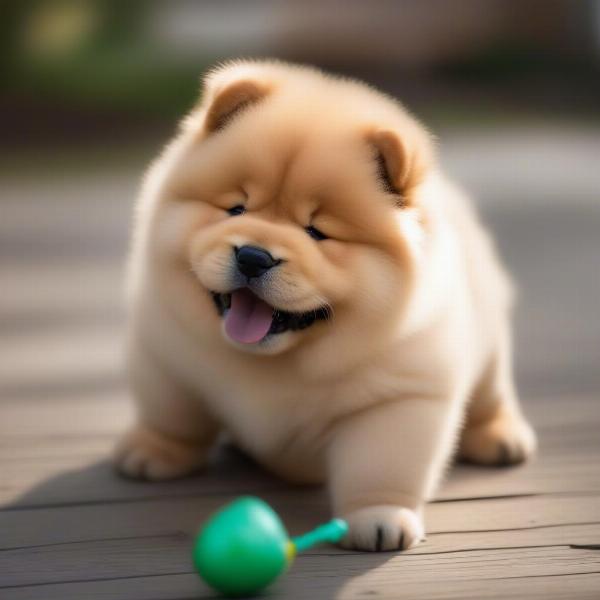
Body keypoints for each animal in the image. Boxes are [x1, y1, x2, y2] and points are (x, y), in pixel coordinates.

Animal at [115, 58, 536, 552]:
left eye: (318, 232)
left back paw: (502, 438)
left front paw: (378, 519)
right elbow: (170, 413)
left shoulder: (399, 396)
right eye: (236, 209)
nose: (253, 255)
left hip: (488, 347)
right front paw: (152, 451)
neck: (275, 363)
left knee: (492, 394)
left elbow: (380, 465)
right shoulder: (165, 355)